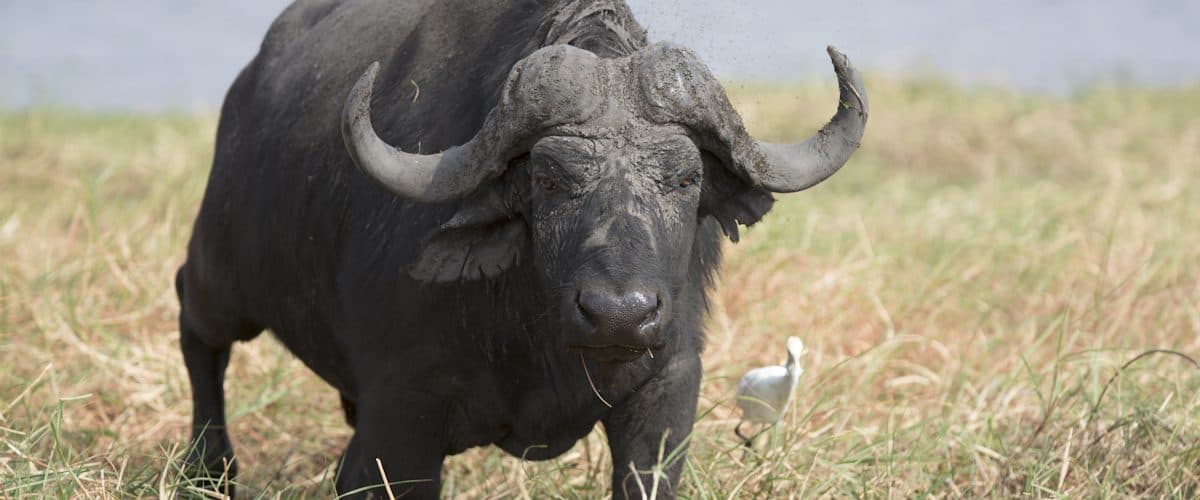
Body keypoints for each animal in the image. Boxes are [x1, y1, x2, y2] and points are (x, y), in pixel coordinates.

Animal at [176, 0, 867, 497]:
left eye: (684, 178)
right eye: (549, 178)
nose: (620, 315)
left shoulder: (668, 389)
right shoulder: (400, 418)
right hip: (224, 271)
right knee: (198, 325)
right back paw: (206, 468)